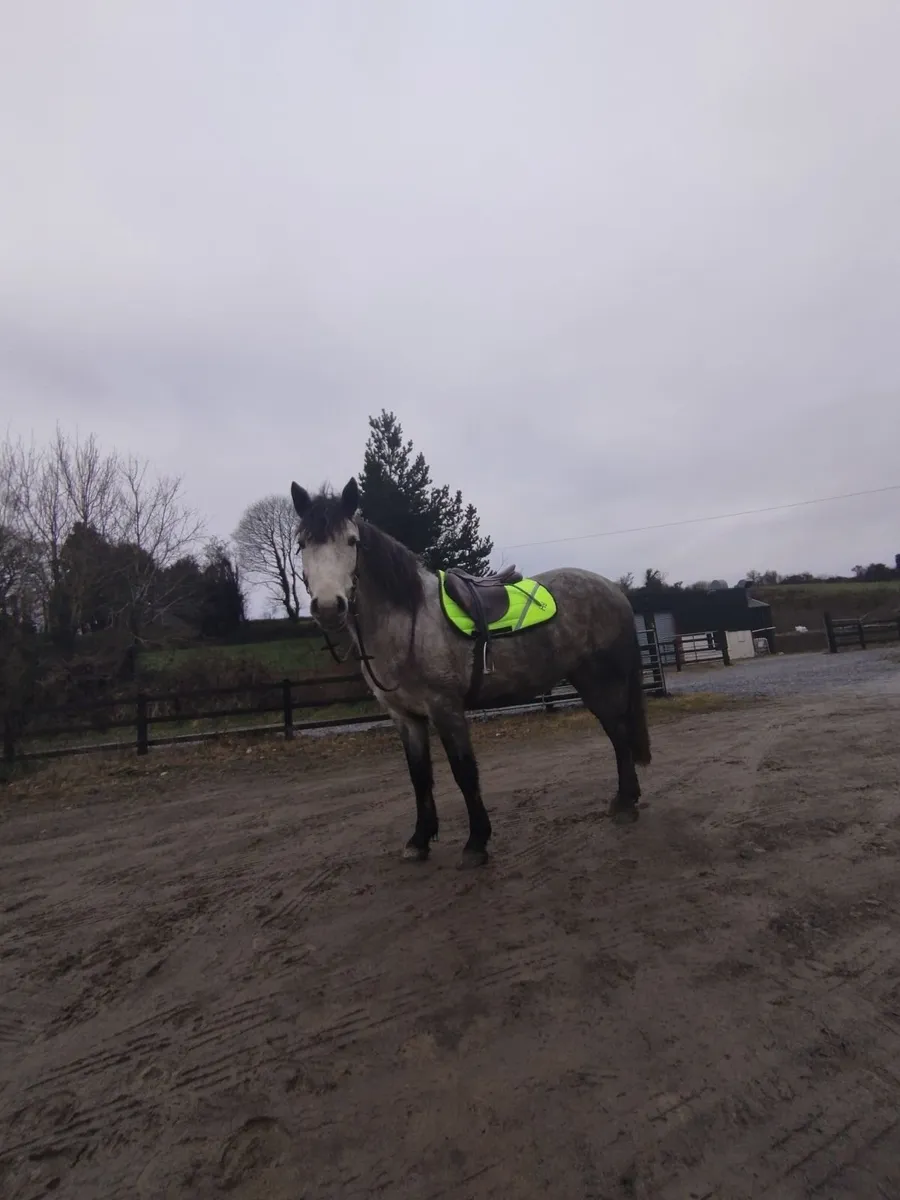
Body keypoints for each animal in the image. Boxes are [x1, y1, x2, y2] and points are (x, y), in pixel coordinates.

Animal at [291, 476, 652, 868]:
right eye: (302, 543)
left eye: (351, 541)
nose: (329, 607)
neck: (407, 621)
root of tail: (612, 589)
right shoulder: (405, 717)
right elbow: (419, 776)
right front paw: (419, 840)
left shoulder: (445, 708)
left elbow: (463, 771)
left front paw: (476, 842)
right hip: (586, 680)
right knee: (616, 733)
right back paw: (624, 800)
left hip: (602, 681)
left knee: (618, 732)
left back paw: (625, 804)